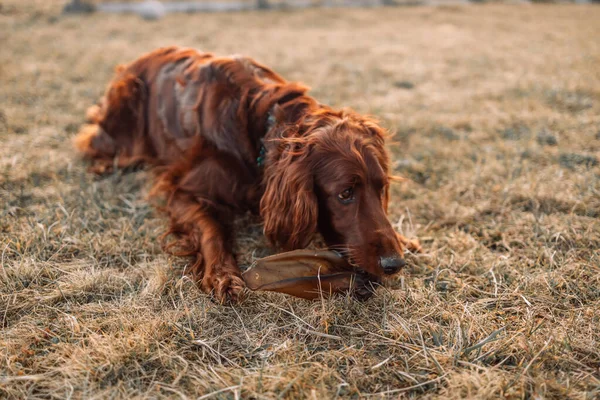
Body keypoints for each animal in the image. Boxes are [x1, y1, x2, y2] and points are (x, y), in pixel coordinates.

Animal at [75, 47, 420, 302]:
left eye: (381, 188)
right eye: (345, 193)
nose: (394, 264)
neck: (260, 125)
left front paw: (405, 238)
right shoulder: (182, 190)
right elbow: (211, 228)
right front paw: (223, 274)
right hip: (128, 100)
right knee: (93, 137)